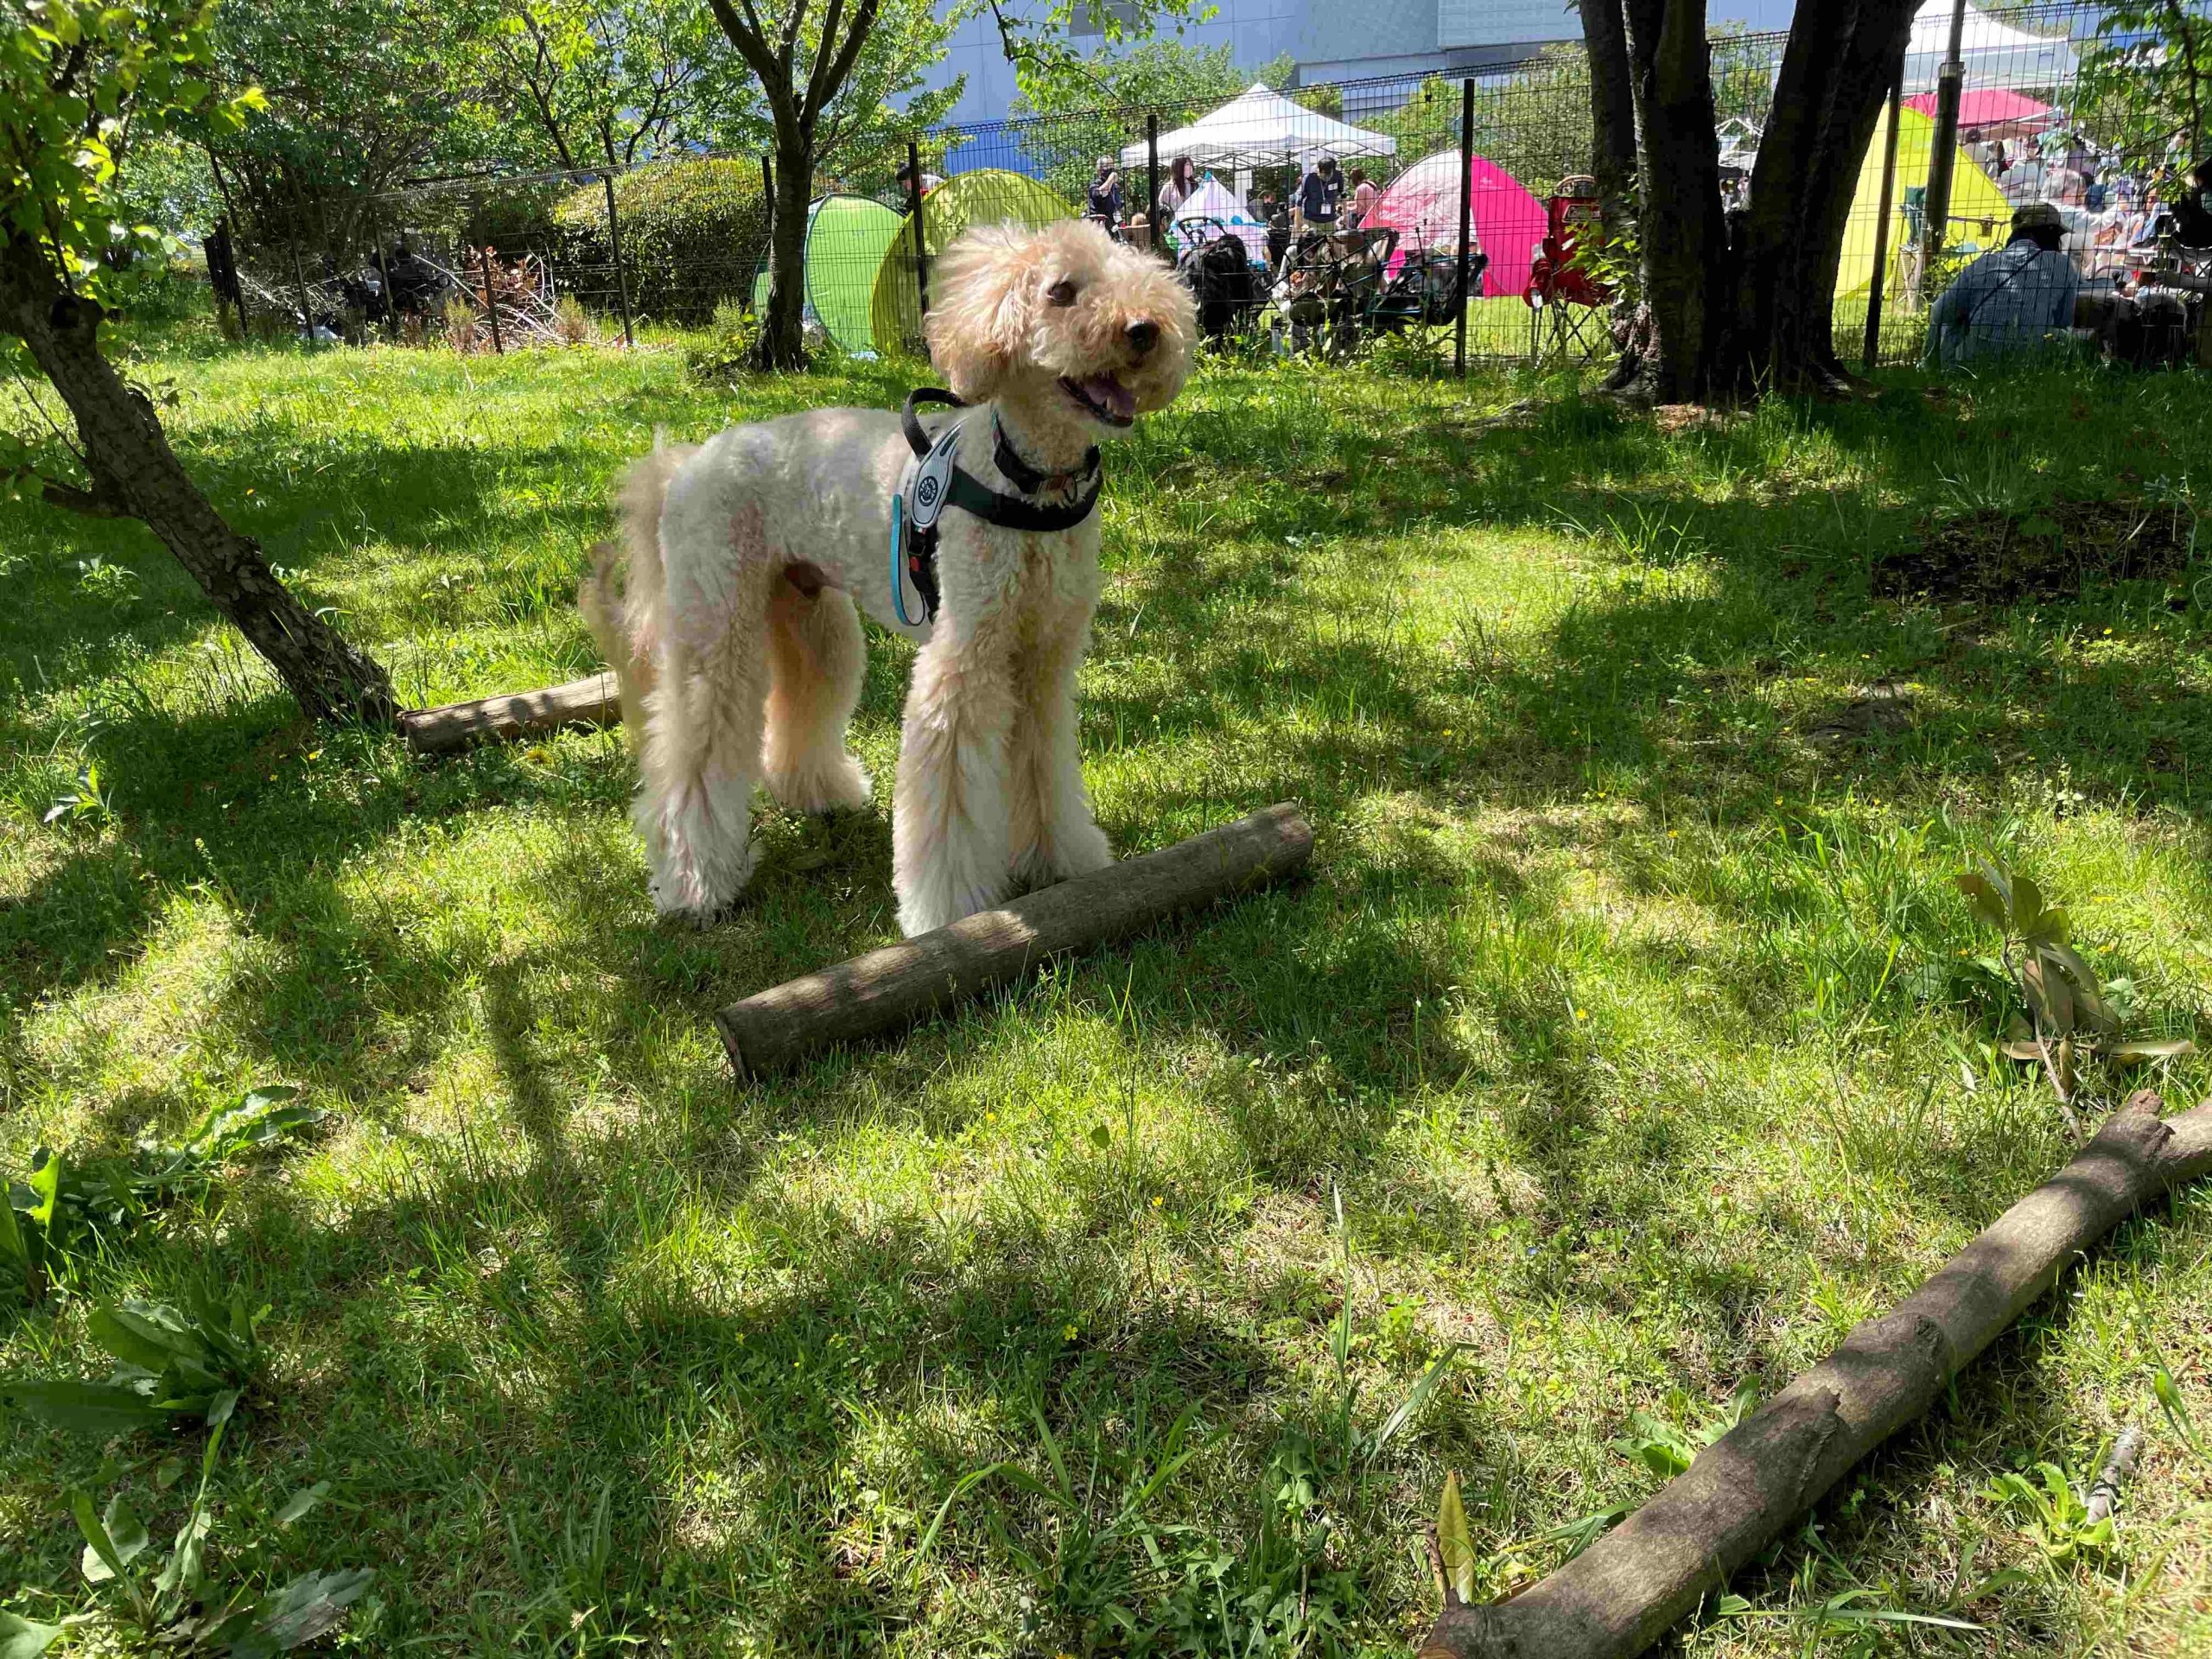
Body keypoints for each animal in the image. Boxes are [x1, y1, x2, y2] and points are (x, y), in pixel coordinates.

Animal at [575, 224, 1194, 938]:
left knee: (801, 710)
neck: (1027, 484)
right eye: (1061, 291)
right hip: (716, 629)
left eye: (1131, 270)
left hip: (813, 624)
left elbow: (1043, 770)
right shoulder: (962, 662)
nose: (1145, 330)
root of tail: (685, 464)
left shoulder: (1040, 664)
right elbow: (948, 799)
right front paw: (947, 909)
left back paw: (821, 793)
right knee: (691, 759)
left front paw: (1061, 860)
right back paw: (695, 886)